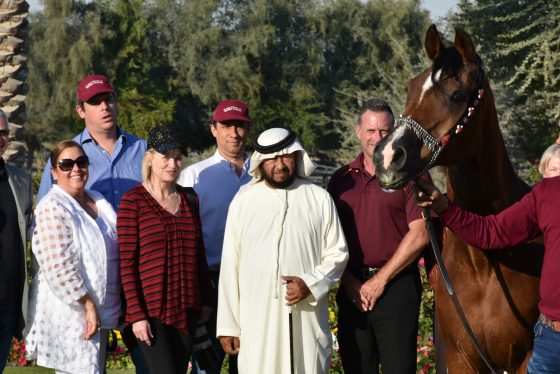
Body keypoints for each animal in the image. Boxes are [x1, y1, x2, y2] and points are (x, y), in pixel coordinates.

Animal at [372, 24, 544, 372]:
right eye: (411, 88)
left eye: (457, 96)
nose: (387, 157)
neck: (484, 261)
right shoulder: (459, 356)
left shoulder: (526, 358)